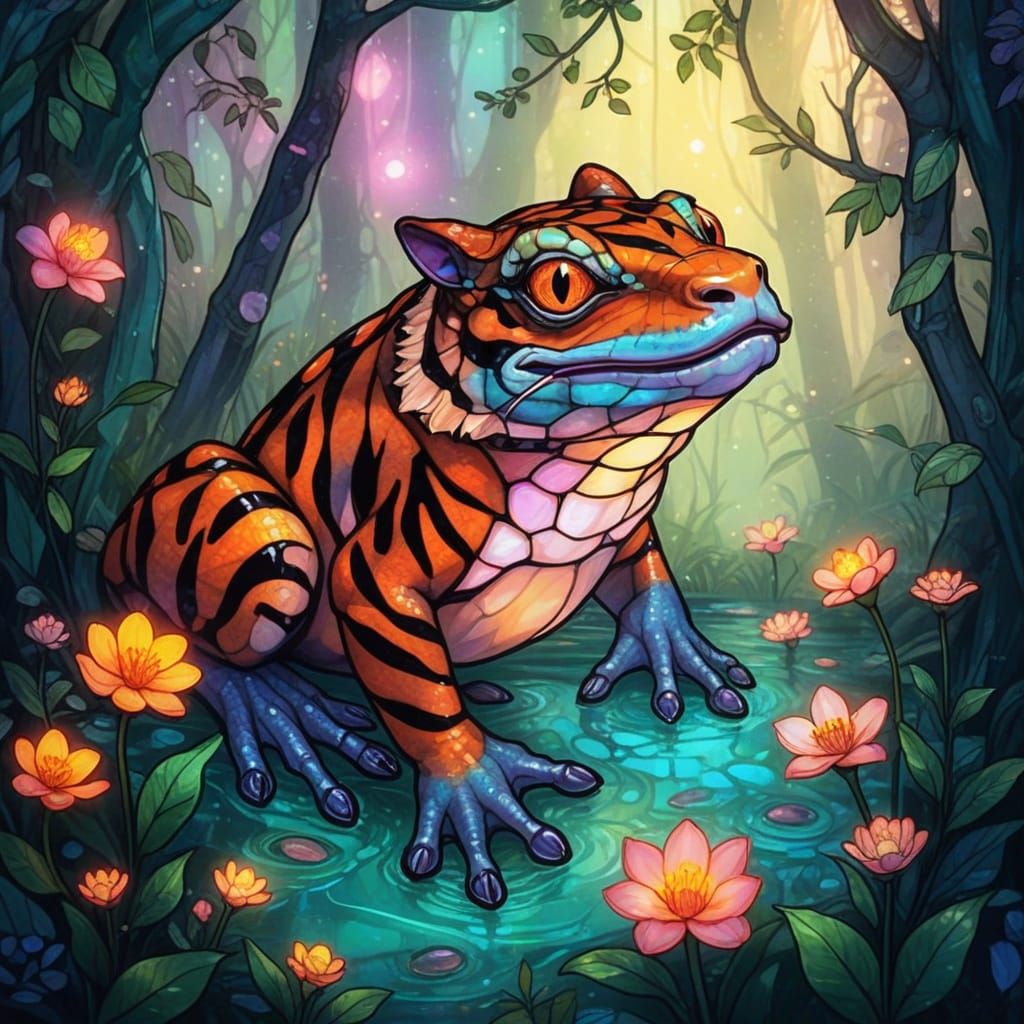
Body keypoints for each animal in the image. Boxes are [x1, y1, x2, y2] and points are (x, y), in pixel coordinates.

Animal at [102, 163, 790, 909]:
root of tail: (109, 545)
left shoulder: (624, 509)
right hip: (257, 532)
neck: (596, 460)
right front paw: (476, 785)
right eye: (559, 284)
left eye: (704, 226)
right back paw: (284, 706)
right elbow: (419, 693)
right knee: (179, 621)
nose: (741, 276)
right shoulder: (373, 576)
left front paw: (678, 651)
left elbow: (648, 575)